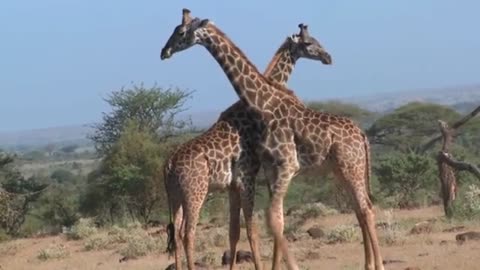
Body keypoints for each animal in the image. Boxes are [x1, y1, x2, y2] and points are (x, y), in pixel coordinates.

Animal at [159, 8, 384, 270]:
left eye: (180, 32)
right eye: (309, 43)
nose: (164, 51)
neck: (263, 104)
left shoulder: (266, 172)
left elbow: (258, 225)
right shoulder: (265, 172)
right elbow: (268, 223)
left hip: (349, 168)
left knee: (365, 209)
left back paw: (376, 264)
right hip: (191, 192)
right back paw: (371, 264)